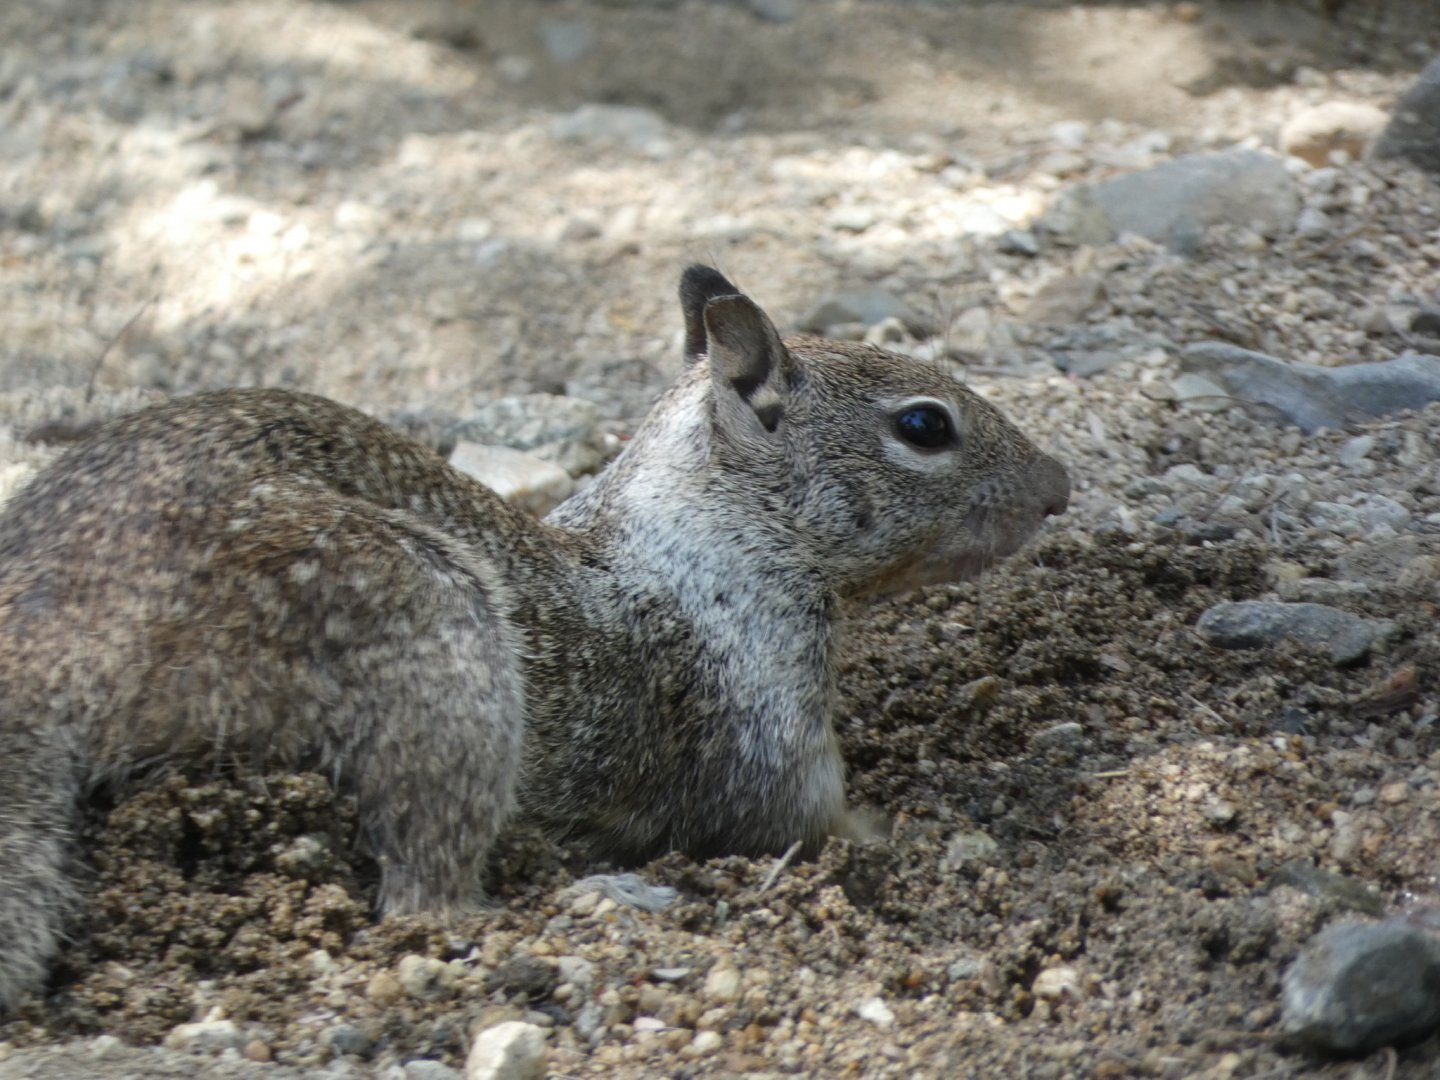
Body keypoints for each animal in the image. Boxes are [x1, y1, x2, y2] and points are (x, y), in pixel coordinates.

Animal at [0, 266, 1068, 1010]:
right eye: (924, 426)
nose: (1060, 485)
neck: (705, 533)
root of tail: (42, 651)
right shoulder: (765, 721)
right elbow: (803, 820)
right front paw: (909, 831)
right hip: (438, 636)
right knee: (420, 886)